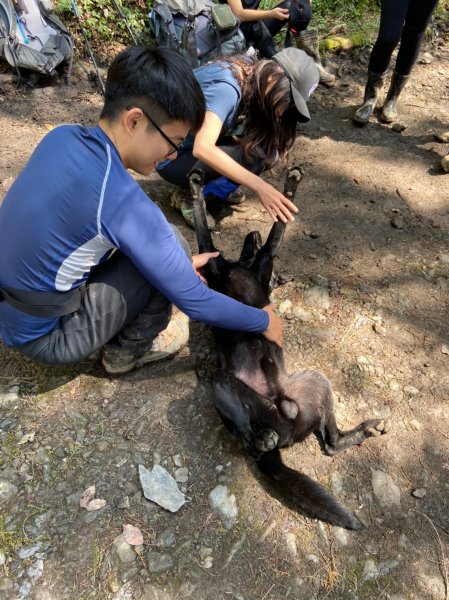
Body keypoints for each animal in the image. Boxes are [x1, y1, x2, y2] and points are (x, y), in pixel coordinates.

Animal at [189, 168, 388, 528]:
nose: (251, 231)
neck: (245, 264)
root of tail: (283, 416)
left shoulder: (254, 258)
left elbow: (270, 233)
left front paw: (289, 188)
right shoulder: (223, 263)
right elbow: (211, 229)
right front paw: (196, 188)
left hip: (312, 385)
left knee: (323, 444)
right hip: (230, 384)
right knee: (258, 441)